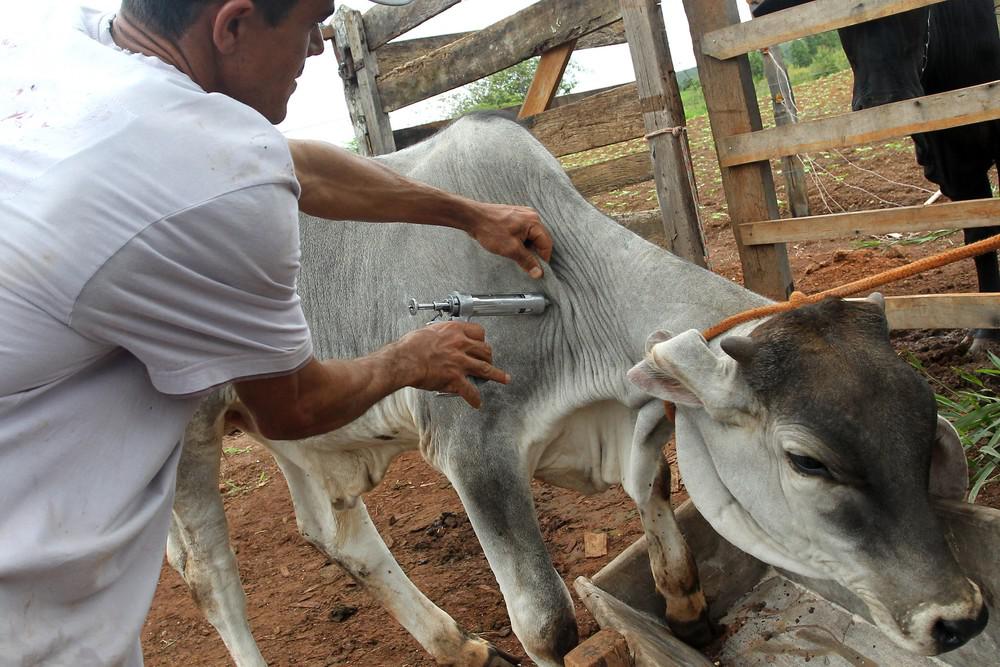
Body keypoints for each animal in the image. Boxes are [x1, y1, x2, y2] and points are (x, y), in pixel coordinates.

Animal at [168, 116, 988, 667]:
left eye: (924, 427)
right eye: (807, 461)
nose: (960, 617)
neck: (562, 292)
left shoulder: (633, 417)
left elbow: (655, 497)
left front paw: (686, 609)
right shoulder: (475, 451)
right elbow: (546, 620)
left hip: (293, 427)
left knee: (335, 535)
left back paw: (456, 643)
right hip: (192, 436)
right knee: (211, 580)